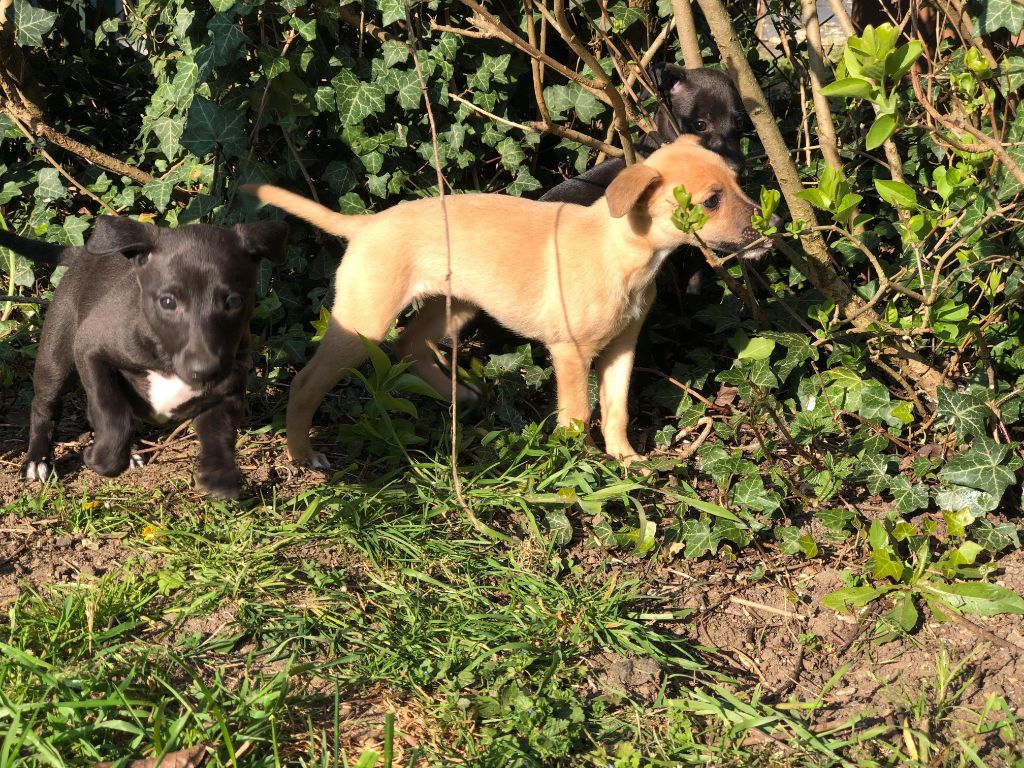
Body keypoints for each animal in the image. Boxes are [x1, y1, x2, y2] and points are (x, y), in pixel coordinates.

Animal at [1, 219, 288, 501]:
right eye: (168, 302)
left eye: (234, 301)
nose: (206, 370)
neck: (166, 358)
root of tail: (81, 255)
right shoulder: (90, 347)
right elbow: (111, 411)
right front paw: (101, 457)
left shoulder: (228, 391)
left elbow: (220, 432)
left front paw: (219, 475)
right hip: (57, 359)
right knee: (45, 406)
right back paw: (37, 461)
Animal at [243, 134, 770, 466]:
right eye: (710, 201)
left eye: (738, 183)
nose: (773, 227)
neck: (624, 253)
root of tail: (366, 223)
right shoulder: (571, 353)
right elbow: (578, 415)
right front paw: (577, 465)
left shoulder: (622, 349)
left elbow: (616, 409)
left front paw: (625, 460)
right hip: (362, 323)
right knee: (306, 381)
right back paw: (301, 454)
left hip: (457, 305)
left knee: (411, 345)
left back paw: (460, 396)